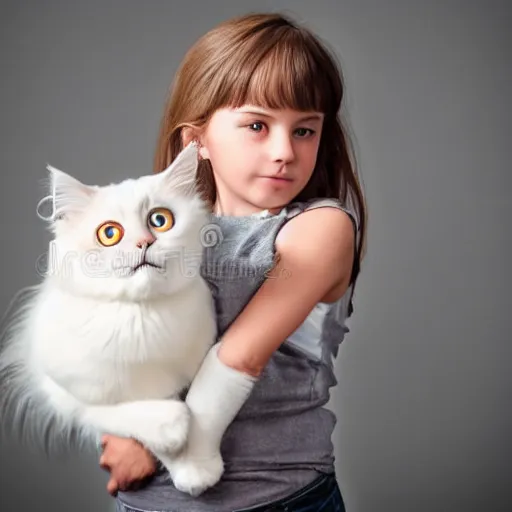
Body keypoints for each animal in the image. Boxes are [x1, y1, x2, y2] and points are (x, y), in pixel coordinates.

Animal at [0, 144, 218, 484]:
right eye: (110, 234)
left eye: (160, 220)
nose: (144, 242)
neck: (140, 317)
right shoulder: (58, 388)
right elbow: (111, 411)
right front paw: (172, 433)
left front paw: (195, 467)